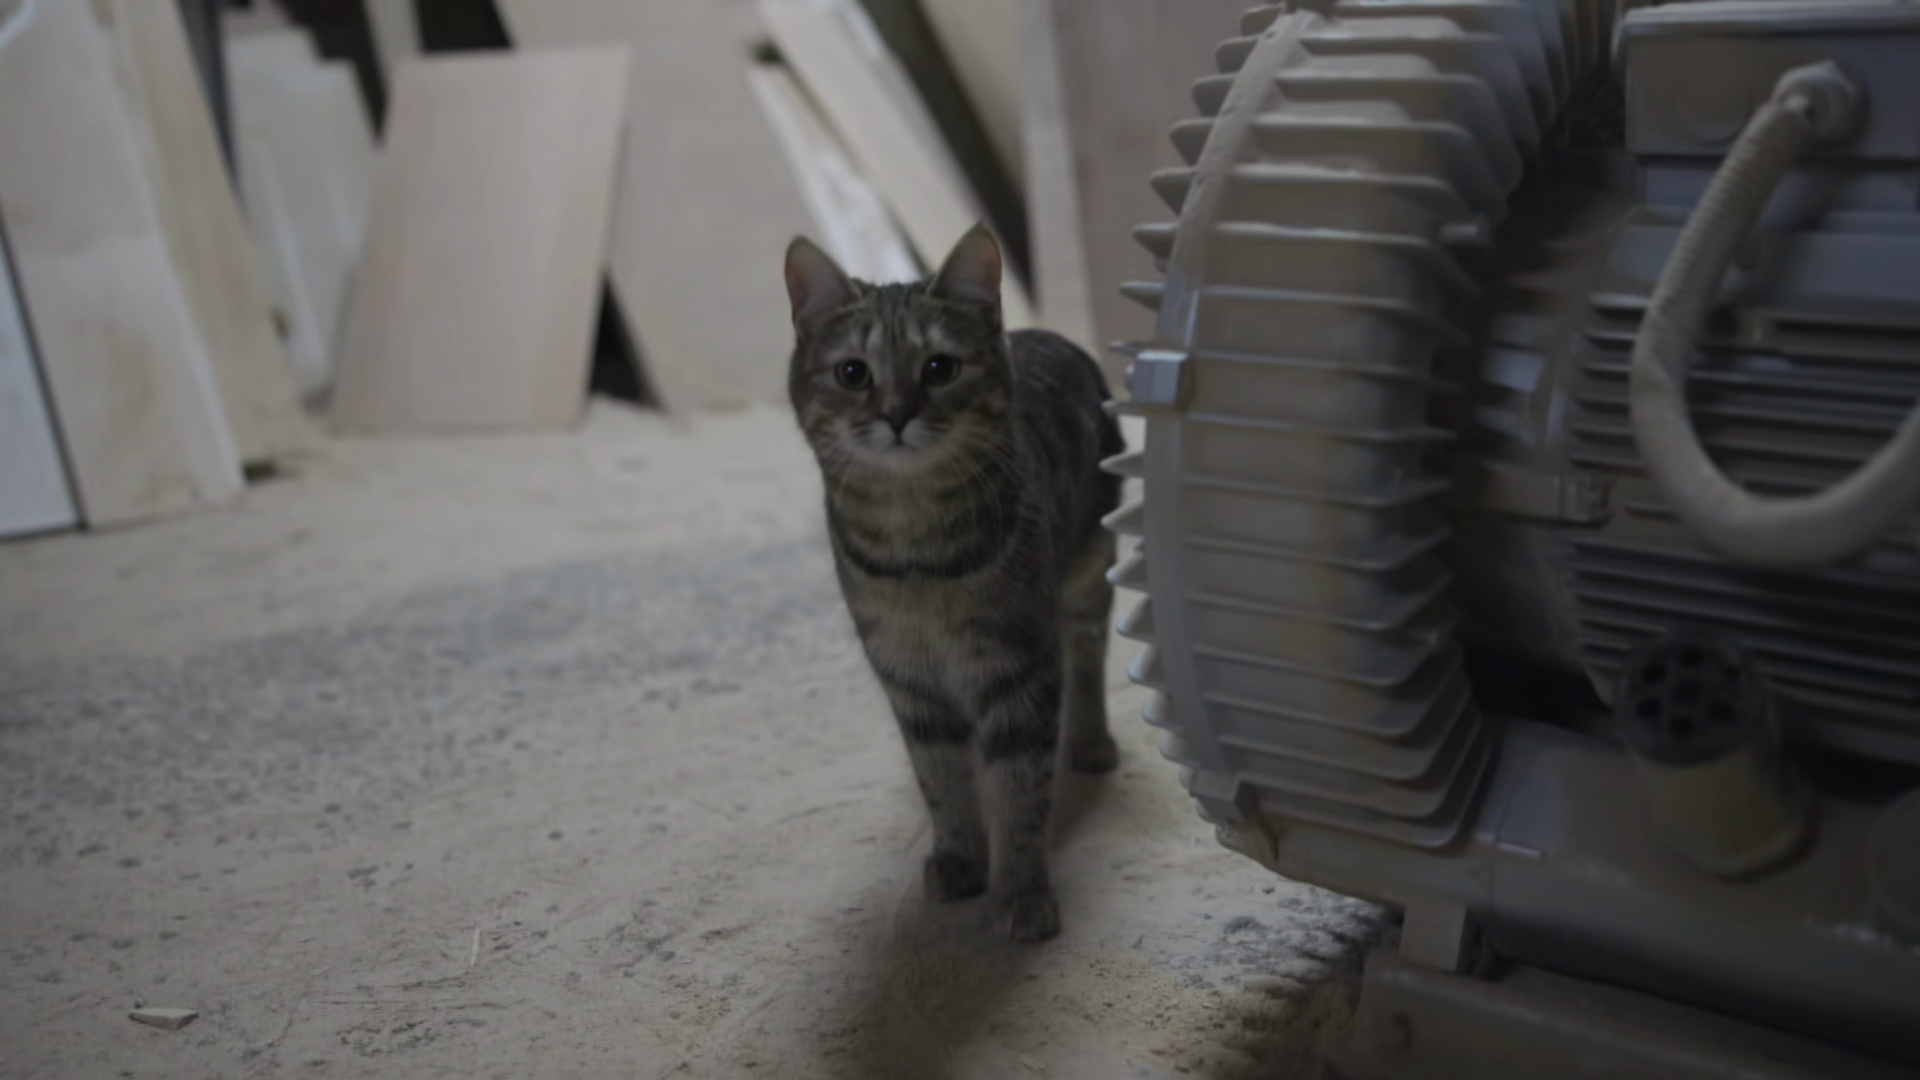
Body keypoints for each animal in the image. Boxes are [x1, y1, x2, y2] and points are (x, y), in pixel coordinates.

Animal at [782, 225, 1126, 943]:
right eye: (853, 372)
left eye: (939, 368)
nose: (896, 415)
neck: (917, 554)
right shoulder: (909, 676)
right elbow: (943, 782)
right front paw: (961, 859)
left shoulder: (1016, 666)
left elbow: (1019, 790)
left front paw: (1022, 892)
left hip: (1086, 577)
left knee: (1086, 662)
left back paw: (1088, 741)